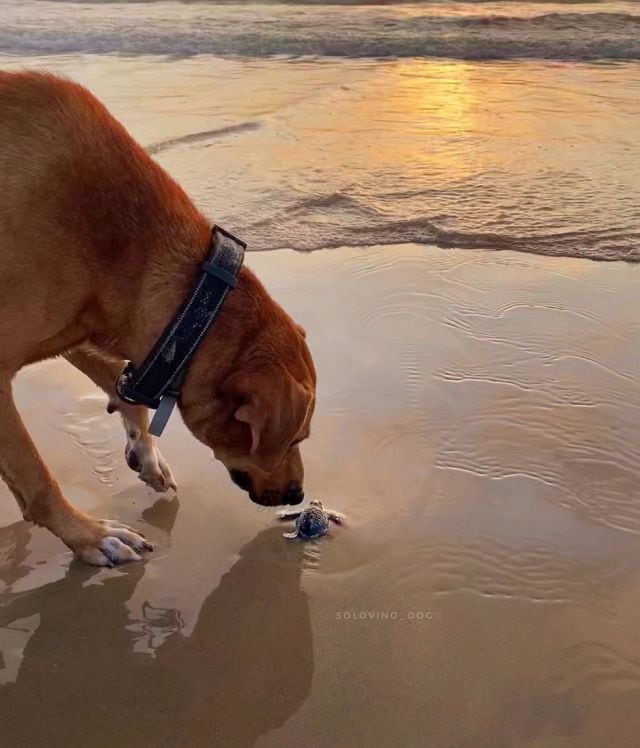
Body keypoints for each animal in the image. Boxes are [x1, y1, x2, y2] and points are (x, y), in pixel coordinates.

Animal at [0, 71, 316, 568]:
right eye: (295, 438)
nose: (298, 494)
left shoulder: (89, 326)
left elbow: (123, 383)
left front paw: (145, 452)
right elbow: (36, 479)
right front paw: (90, 536)